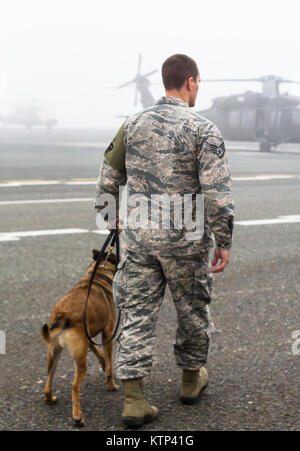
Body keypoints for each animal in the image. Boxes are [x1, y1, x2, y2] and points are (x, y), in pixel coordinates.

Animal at [40, 251, 119, 428]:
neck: (98, 274)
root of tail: (61, 315)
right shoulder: (107, 333)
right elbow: (109, 365)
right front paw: (111, 384)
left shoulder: (87, 336)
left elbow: (98, 351)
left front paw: (102, 362)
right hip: (80, 361)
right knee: (75, 386)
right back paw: (78, 417)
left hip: (54, 354)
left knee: (48, 381)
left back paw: (50, 399)